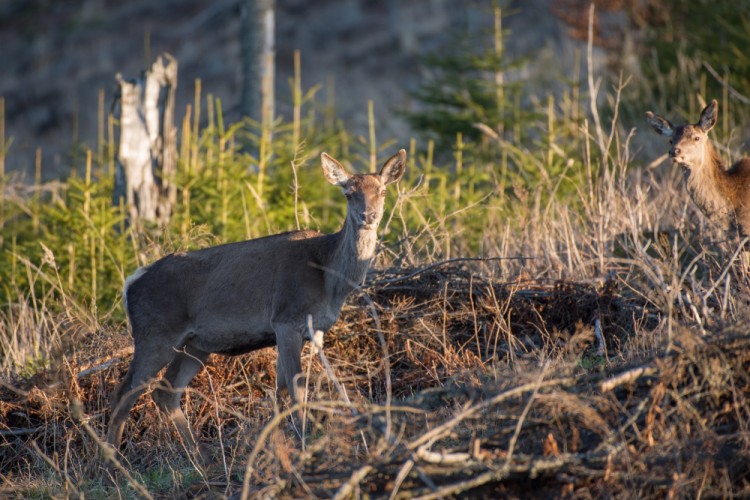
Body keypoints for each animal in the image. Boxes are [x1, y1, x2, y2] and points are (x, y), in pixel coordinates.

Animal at [106, 149, 406, 454]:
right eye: (348, 193)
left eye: (382, 190)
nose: (368, 215)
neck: (329, 278)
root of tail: (131, 284)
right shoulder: (286, 319)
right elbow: (297, 391)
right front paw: (303, 444)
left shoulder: (301, 330)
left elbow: (281, 392)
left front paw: (276, 445)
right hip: (155, 333)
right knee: (123, 395)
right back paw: (111, 459)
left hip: (196, 344)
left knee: (165, 391)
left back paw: (200, 455)